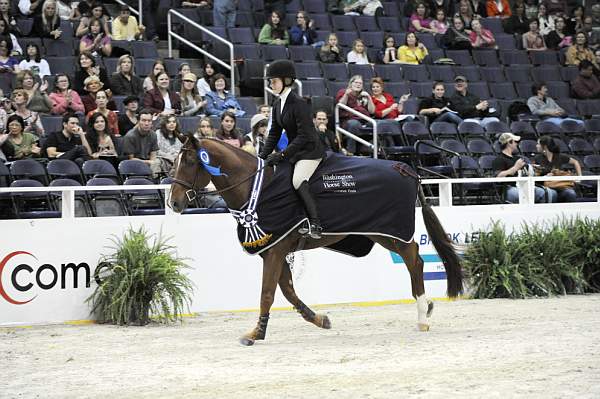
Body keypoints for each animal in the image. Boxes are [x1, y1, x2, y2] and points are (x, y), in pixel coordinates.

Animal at [169, 135, 464, 346]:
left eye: (191, 162)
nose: (173, 203)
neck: (256, 190)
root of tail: (404, 167)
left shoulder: (275, 250)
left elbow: (267, 293)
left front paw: (255, 334)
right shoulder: (275, 250)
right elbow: (288, 290)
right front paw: (320, 319)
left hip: (390, 232)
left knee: (414, 260)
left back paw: (423, 315)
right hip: (380, 232)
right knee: (415, 259)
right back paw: (427, 308)